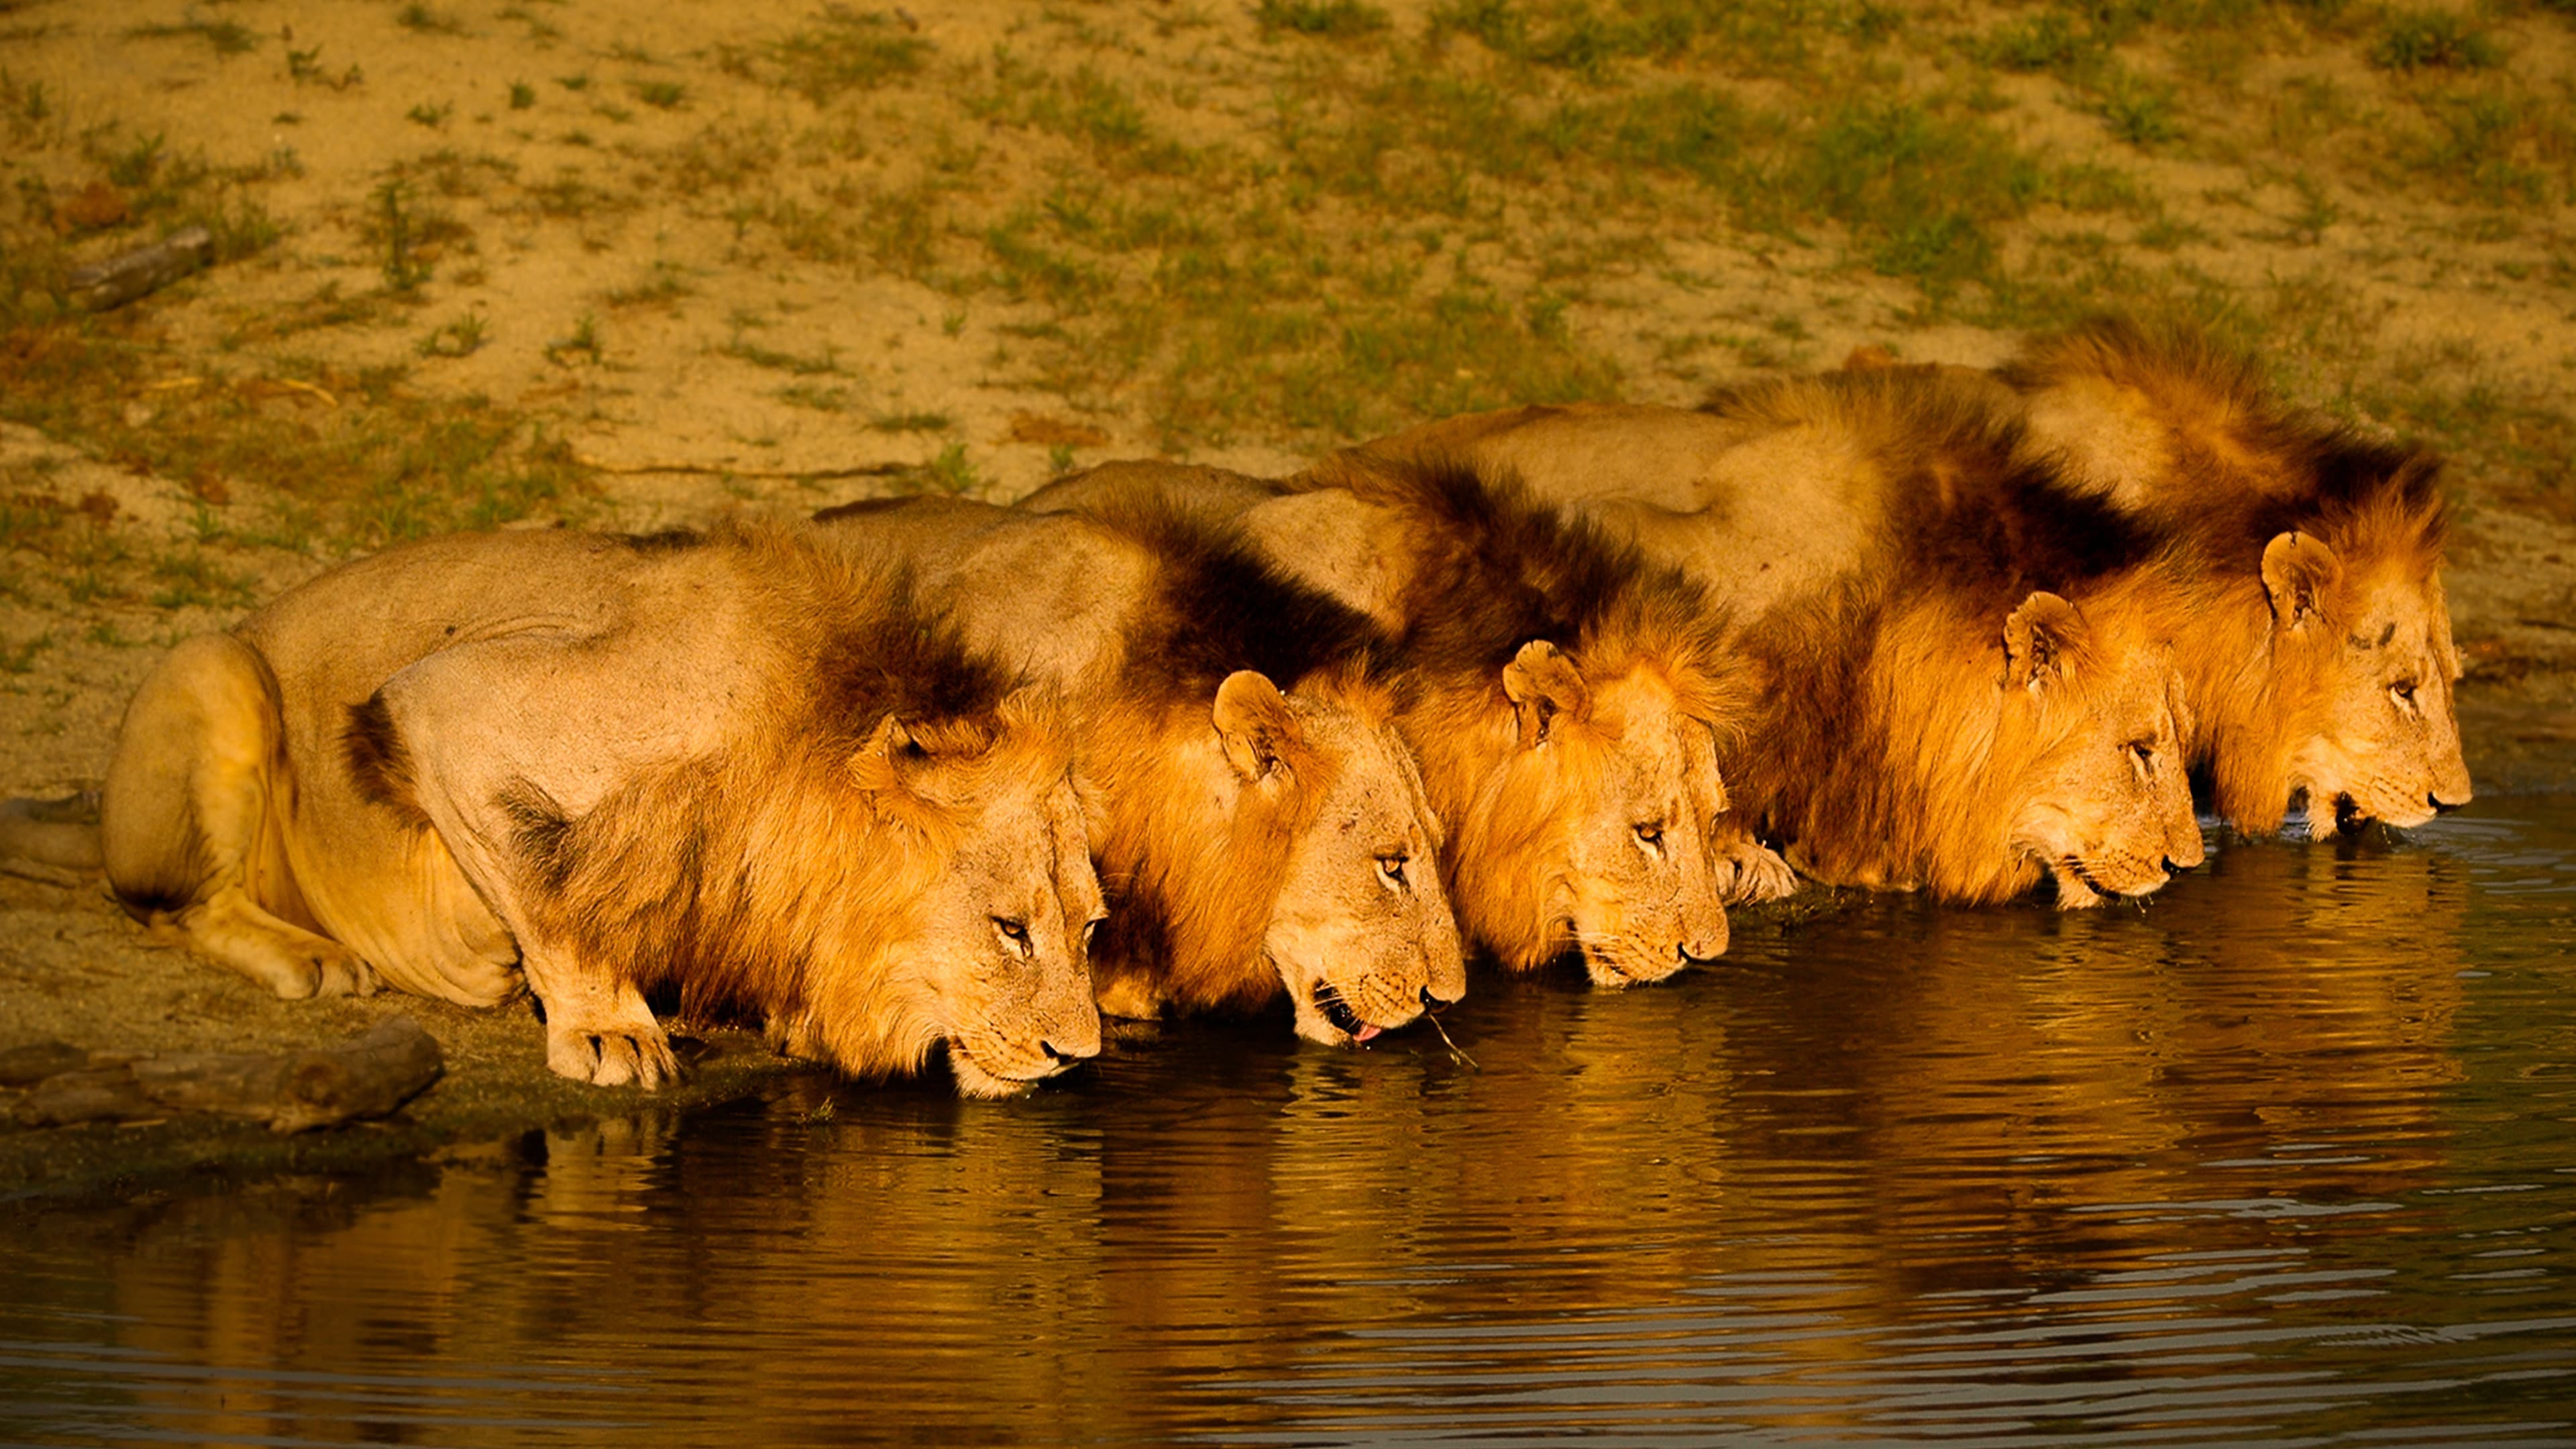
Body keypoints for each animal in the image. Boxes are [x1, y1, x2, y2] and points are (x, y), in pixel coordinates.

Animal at [97, 523, 1105, 1096]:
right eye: (1010, 929)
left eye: (1092, 929)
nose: (1079, 1058)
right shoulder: (445, 703)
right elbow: (553, 894)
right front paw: (607, 1029)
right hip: (219, 668)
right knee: (174, 906)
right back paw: (315, 958)